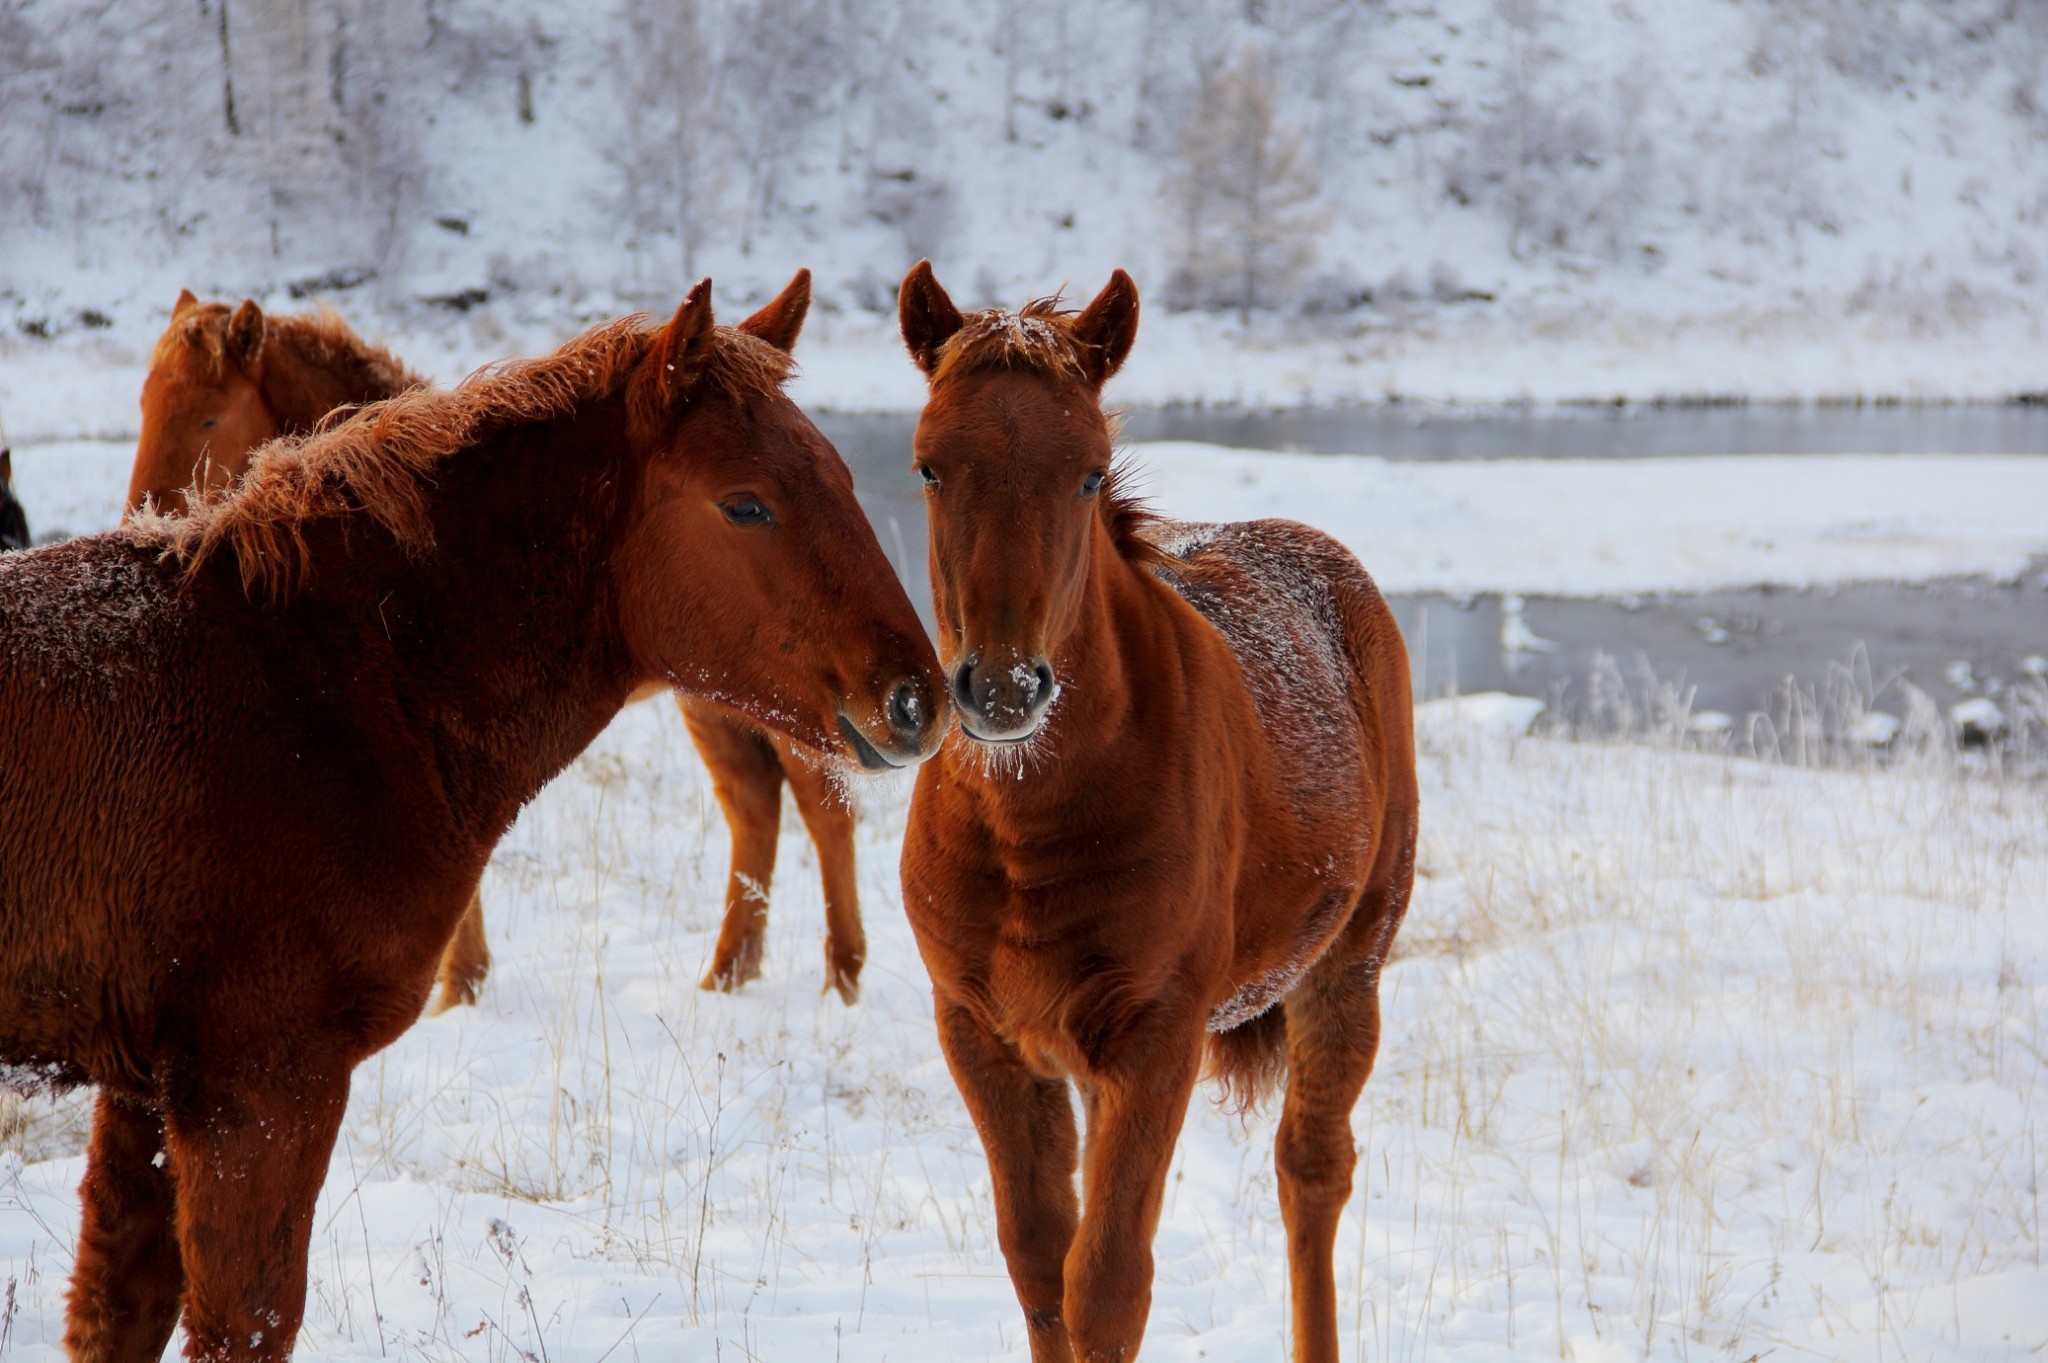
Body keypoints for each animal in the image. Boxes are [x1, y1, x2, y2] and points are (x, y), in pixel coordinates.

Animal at [140, 280, 876, 1002]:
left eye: (208, 419)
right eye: (147, 409)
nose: (146, 515)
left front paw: (461, 983)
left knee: (819, 807)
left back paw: (841, 973)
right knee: (752, 800)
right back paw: (730, 970)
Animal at [897, 257, 1425, 1358]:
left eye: (1090, 472)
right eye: (927, 465)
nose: (1002, 688)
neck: (1030, 829)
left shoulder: (1155, 1037)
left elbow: (1107, 1284)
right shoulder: (982, 1036)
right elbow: (1040, 1266)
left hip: (1347, 967)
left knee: (1312, 1175)